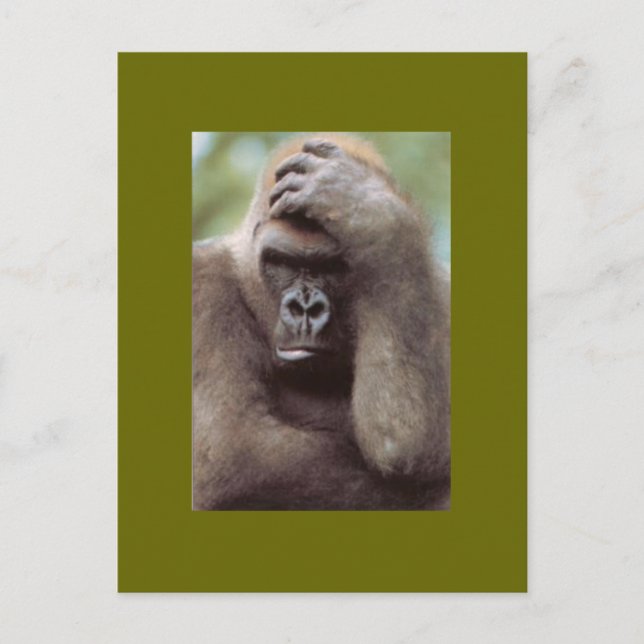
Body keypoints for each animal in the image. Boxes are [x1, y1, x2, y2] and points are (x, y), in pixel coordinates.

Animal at [192, 134, 450, 510]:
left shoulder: (444, 290)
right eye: (282, 262)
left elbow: (404, 442)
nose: (305, 308)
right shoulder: (201, 283)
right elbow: (237, 448)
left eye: (333, 267)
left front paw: (370, 210)